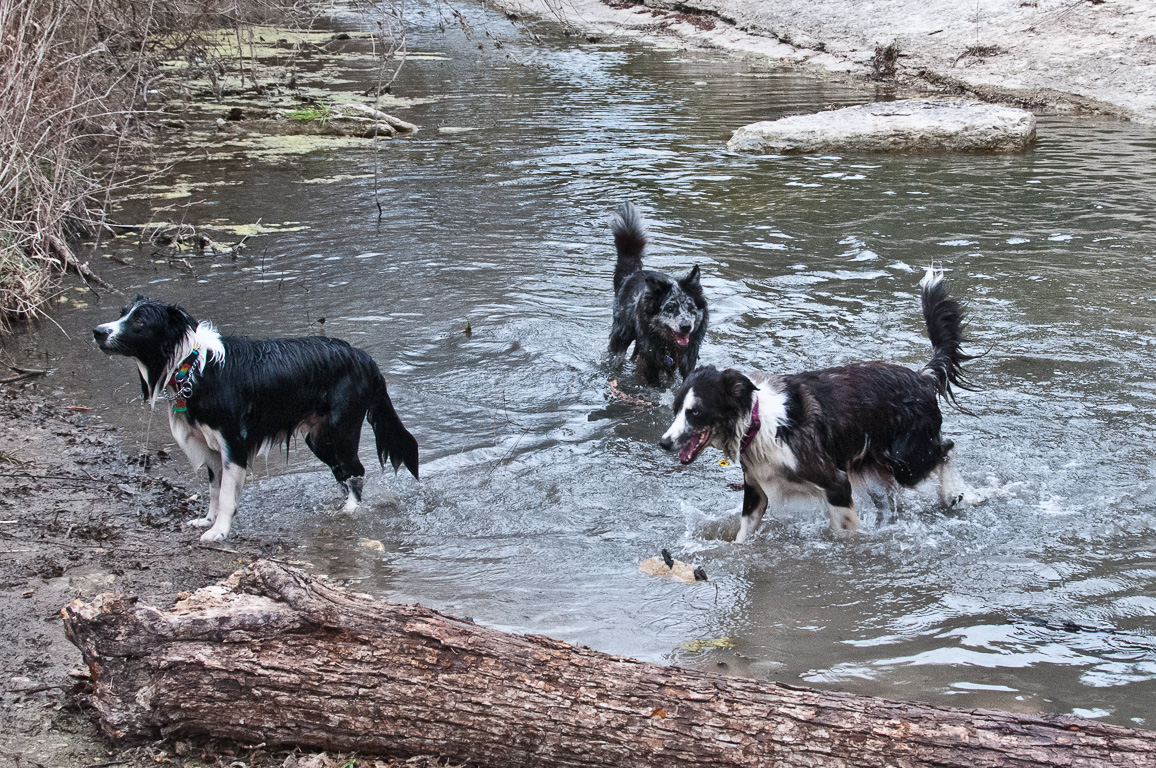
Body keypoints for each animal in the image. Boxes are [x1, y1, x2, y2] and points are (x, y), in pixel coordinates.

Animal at [94, 296, 420, 543]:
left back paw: (349, 511)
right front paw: (207, 520)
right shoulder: (210, 446)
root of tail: (364, 357)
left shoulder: (233, 443)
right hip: (319, 438)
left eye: (139, 322)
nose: (98, 331)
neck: (194, 365)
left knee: (356, 470)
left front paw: (219, 532)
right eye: (122, 314)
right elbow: (214, 489)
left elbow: (226, 494)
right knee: (344, 473)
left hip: (339, 430)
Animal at [610, 201, 707, 386]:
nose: (686, 327)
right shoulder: (652, 363)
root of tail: (632, 274)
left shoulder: (688, 361)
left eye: (690, 307)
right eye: (669, 308)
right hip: (621, 337)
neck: (670, 347)